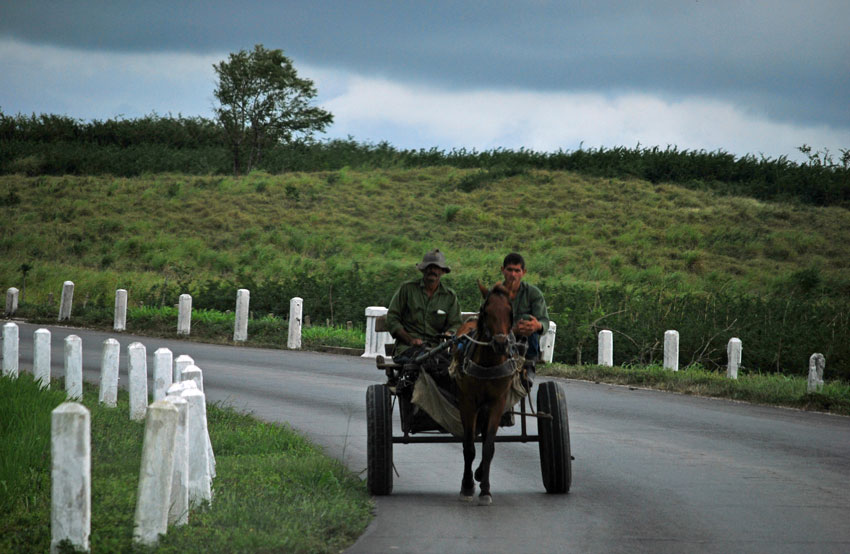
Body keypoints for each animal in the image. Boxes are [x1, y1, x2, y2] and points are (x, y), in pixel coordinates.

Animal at [450, 282, 516, 502]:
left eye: (510, 311)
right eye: (487, 312)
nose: (501, 344)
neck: (489, 362)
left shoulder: (497, 402)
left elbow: (488, 446)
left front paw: (485, 489)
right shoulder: (468, 403)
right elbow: (469, 446)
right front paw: (467, 486)